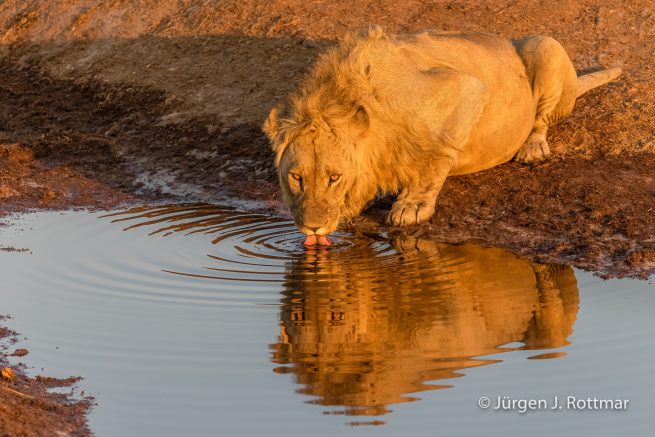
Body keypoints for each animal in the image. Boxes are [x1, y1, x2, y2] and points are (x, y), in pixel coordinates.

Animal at [263, 28, 622, 245]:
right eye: (296, 177)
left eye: (334, 178)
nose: (313, 227)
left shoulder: (467, 89)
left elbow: (435, 159)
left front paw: (411, 206)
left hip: (544, 45)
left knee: (541, 118)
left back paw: (533, 147)